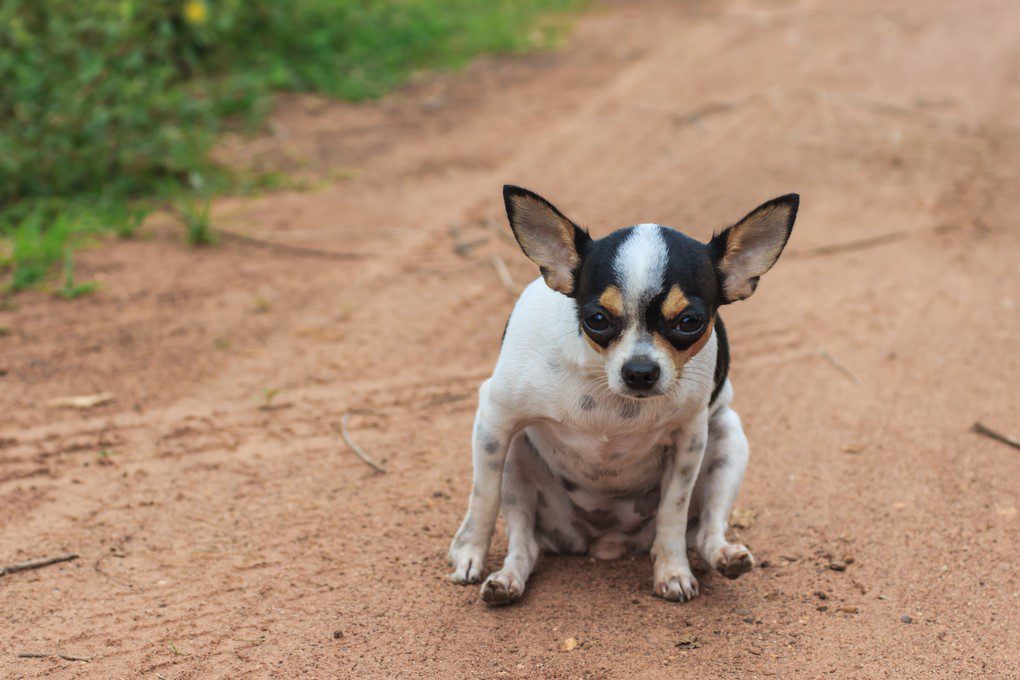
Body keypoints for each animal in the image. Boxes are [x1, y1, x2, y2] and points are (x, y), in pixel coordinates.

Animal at [450, 186, 799, 607]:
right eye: (597, 319)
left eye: (690, 322)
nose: (640, 371)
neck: (611, 397)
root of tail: (606, 541)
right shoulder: (496, 419)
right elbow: (483, 499)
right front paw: (470, 552)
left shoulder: (689, 441)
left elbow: (673, 512)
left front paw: (672, 571)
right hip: (517, 462)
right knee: (525, 543)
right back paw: (507, 580)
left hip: (727, 439)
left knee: (705, 531)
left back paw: (725, 556)